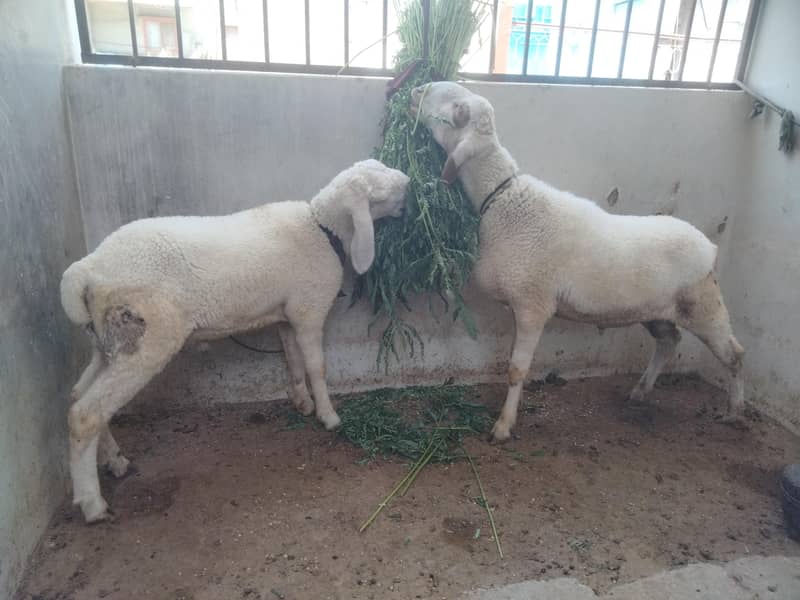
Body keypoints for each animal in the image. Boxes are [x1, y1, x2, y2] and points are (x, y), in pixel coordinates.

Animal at [60, 159, 409, 523]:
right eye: (378, 187)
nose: (409, 183)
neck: (322, 227)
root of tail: (85, 271)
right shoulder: (308, 311)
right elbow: (317, 366)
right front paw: (329, 416)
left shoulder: (286, 316)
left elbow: (293, 360)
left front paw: (302, 402)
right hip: (145, 337)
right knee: (86, 413)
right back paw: (92, 502)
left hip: (107, 342)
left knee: (79, 395)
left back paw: (114, 461)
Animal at [410, 82, 744, 442]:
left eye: (457, 107)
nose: (416, 90)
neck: (503, 197)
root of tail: (710, 247)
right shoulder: (520, 305)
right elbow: (512, 362)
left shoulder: (533, 305)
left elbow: (516, 369)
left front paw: (503, 425)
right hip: (656, 311)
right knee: (669, 342)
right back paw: (641, 391)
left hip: (705, 308)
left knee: (734, 356)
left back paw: (735, 411)